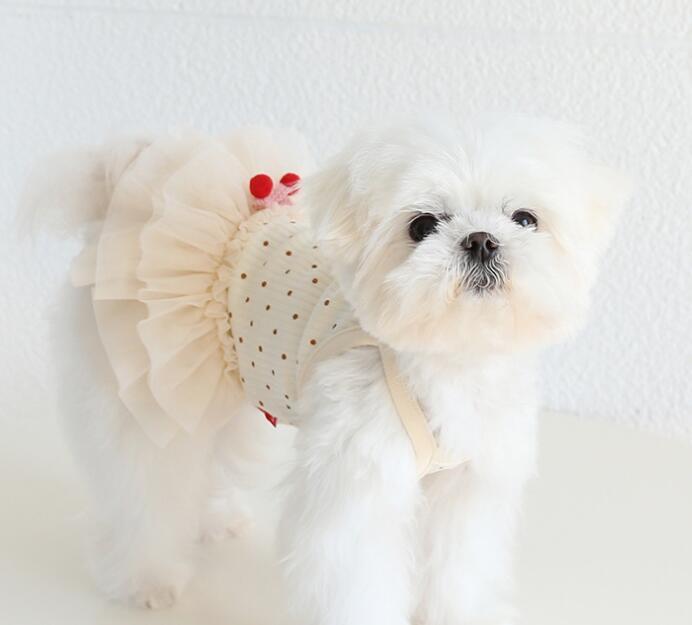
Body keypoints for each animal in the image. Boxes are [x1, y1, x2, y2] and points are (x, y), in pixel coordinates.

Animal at [28, 116, 627, 624]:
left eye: (525, 218)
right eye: (422, 225)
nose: (480, 240)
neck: (446, 359)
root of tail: (122, 186)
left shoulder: (466, 488)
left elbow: (458, 570)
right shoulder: (357, 495)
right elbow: (357, 582)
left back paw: (213, 518)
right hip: (145, 385)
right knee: (145, 484)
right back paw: (145, 577)